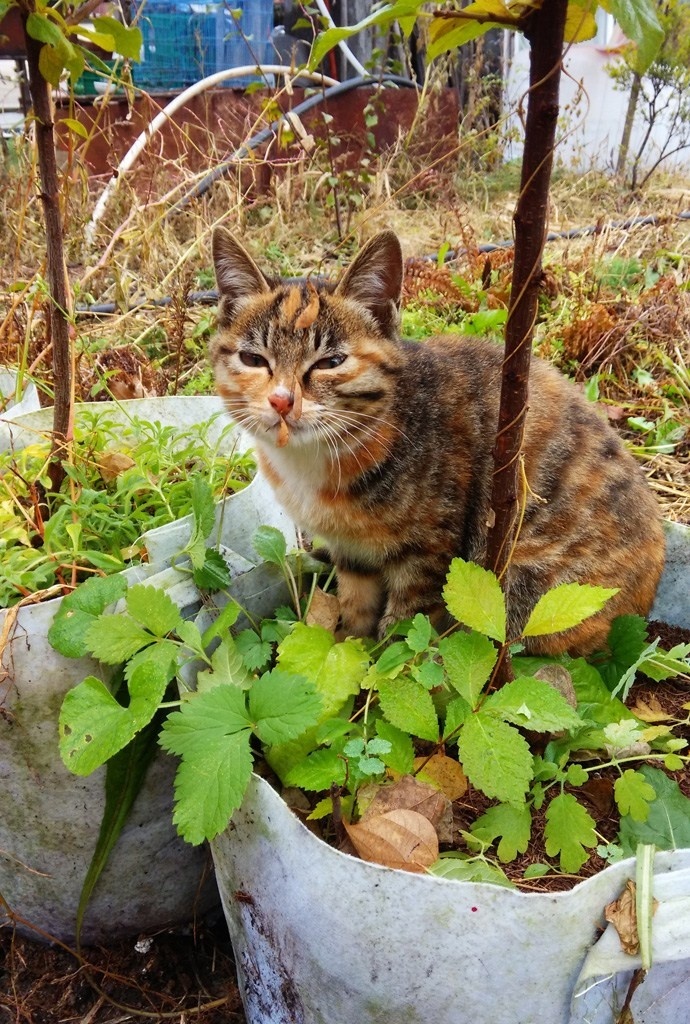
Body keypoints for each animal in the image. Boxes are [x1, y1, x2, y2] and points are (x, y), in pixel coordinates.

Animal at [210, 228, 667, 651]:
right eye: (253, 359)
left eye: (331, 362)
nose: (281, 400)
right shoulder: (353, 553)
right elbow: (356, 611)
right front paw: (349, 648)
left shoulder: (429, 555)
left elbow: (403, 635)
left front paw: (379, 669)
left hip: (520, 582)